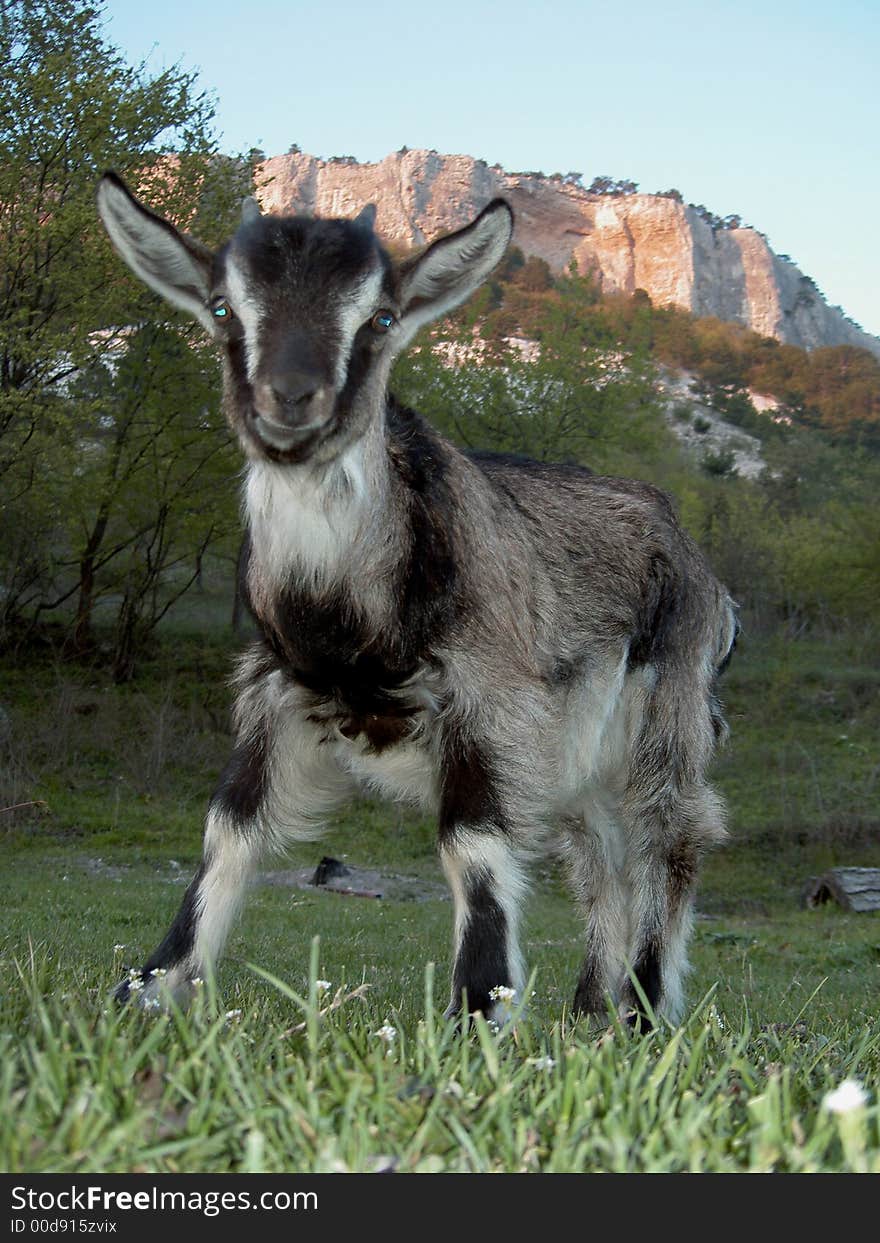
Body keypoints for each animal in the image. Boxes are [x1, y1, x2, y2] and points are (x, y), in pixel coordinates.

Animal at [96, 177, 740, 1029]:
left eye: (380, 316)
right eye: (224, 307)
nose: (291, 399)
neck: (351, 632)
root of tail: (702, 565)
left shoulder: (488, 701)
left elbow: (471, 843)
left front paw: (480, 1008)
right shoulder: (274, 691)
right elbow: (227, 829)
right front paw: (153, 984)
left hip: (667, 705)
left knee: (671, 833)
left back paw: (640, 1007)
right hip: (571, 751)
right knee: (598, 854)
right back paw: (587, 1008)